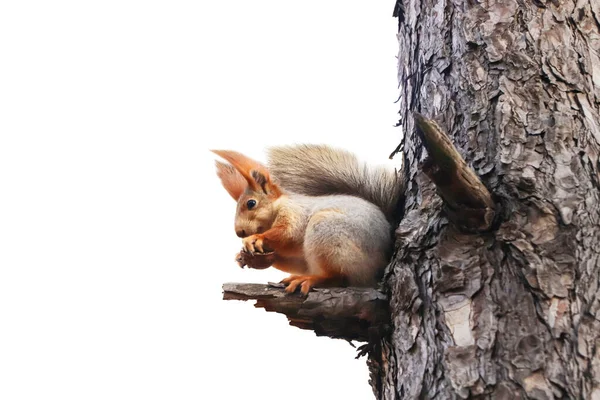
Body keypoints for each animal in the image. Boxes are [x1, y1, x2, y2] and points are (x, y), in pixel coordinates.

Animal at [211, 145, 404, 296]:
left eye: (251, 203)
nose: (240, 232)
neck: (278, 207)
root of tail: (380, 265)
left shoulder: (295, 213)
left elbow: (287, 233)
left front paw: (255, 239)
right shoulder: (298, 257)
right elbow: (293, 259)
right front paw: (251, 258)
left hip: (328, 232)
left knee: (337, 277)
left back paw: (309, 279)